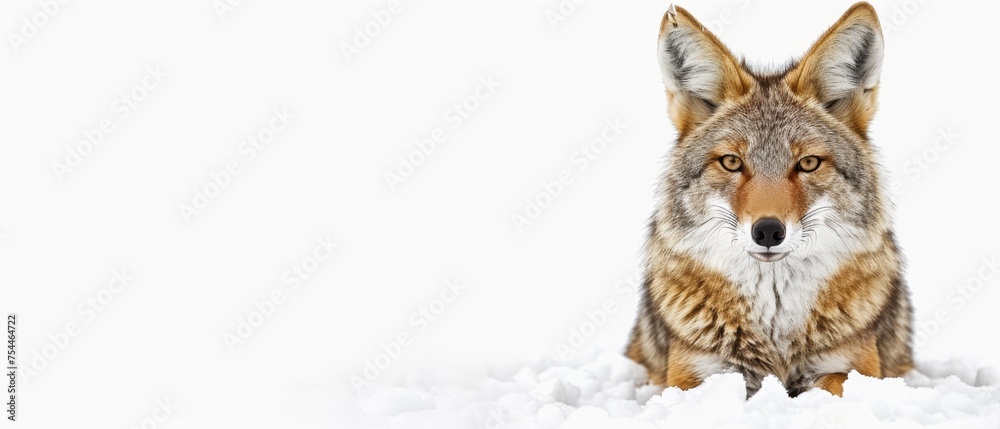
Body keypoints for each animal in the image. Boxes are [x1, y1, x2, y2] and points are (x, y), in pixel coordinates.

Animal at [625, 2, 913, 397]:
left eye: (808, 163)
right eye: (732, 162)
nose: (767, 232)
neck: (775, 329)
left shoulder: (856, 368)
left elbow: (832, 386)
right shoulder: (690, 377)